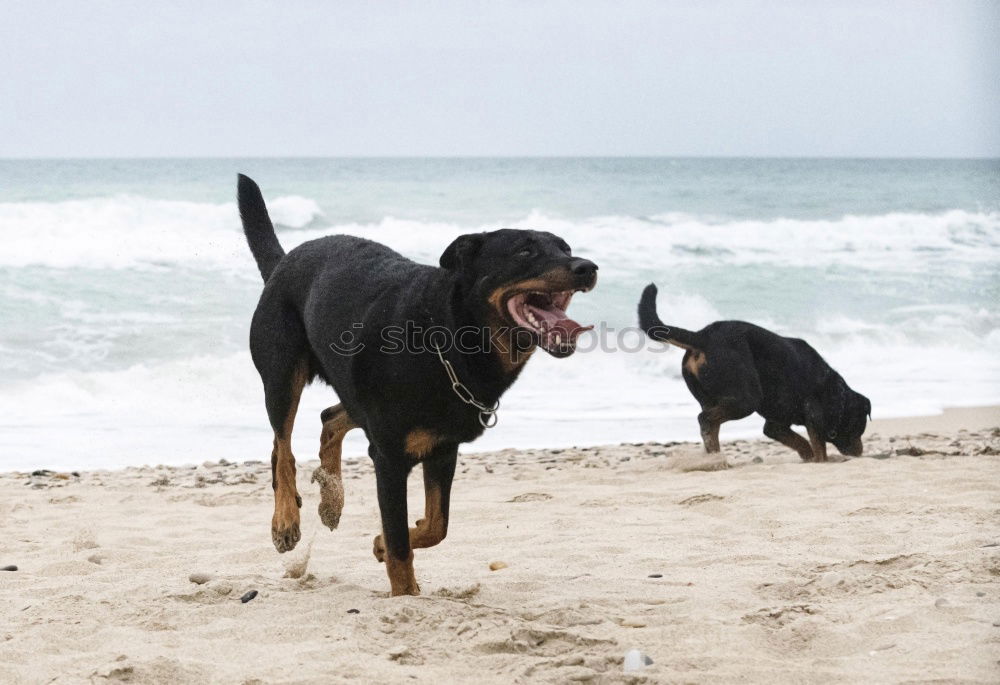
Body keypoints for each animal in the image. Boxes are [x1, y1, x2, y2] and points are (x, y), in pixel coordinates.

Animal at [238, 175, 596, 592]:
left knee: (330, 416)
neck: (450, 336)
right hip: (282, 373)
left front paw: (386, 542)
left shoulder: (443, 448)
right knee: (282, 447)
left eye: (565, 248)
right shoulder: (390, 458)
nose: (588, 267)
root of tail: (283, 260)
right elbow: (400, 544)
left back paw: (331, 499)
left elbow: (437, 526)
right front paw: (405, 592)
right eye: (525, 251)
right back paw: (285, 521)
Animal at [640, 280, 868, 462]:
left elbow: (800, 442)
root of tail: (702, 336)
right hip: (746, 398)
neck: (836, 394)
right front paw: (821, 460)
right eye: (860, 426)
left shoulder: (776, 425)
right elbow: (818, 446)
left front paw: (809, 458)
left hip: (711, 398)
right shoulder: (813, 417)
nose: (860, 452)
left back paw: (715, 458)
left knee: (710, 425)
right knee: (705, 420)